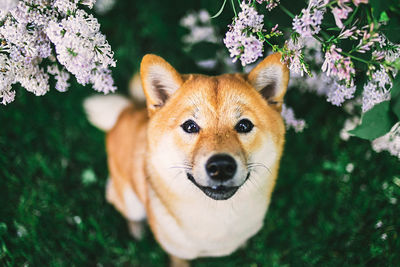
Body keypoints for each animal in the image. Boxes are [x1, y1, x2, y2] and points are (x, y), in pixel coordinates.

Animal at [84, 52, 290, 266]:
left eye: (244, 126)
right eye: (190, 126)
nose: (221, 166)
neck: (217, 218)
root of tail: (124, 112)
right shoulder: (177, 251)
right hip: (129, 199)